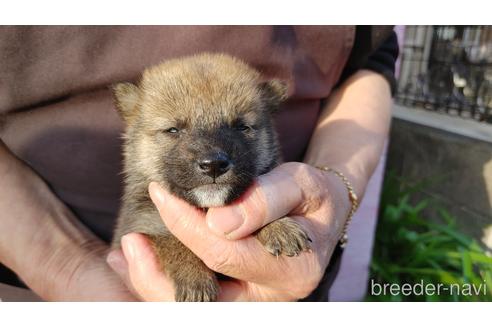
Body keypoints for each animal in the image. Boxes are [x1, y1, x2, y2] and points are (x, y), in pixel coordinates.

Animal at [113, 53, 310, 302]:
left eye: (242, 127)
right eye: (173, 130)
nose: (214, 165)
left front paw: (279, 226)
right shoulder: (143, 224)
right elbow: (173, 240)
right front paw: (195, 279)